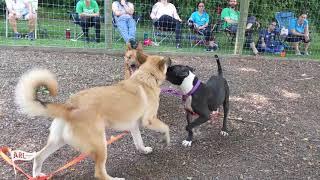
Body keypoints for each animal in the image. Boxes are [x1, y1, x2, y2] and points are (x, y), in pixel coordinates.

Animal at [14, 54, 171, 179]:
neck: (146, 76)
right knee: (99, 173)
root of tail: (69, 106)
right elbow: (166, 128)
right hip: (101, 145)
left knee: (38, 156)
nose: (170, 59)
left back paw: (37, 174)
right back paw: (114, 179)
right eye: (166, 61)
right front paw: (166, 139)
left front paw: (144, 150)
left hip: (58, 141)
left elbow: (139, 142)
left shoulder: (134, 126)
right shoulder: (149, 120)